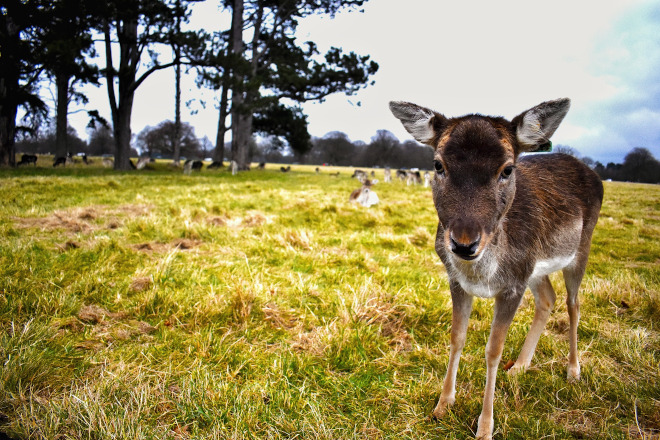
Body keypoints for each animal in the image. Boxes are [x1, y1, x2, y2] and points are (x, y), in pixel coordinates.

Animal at [392, 99, 604, 440]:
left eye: (507, 169)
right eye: (438, 165)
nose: (464, 244)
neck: (482, 273)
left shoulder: (513, 285)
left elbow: (493, 350)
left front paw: (485, 427)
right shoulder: (457, 280)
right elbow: (457, 337)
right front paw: (442, 405)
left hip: (580, 248)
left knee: (573, 303)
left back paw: (573, 370)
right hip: (535, 268)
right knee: (548, 298)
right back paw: (520, 366)